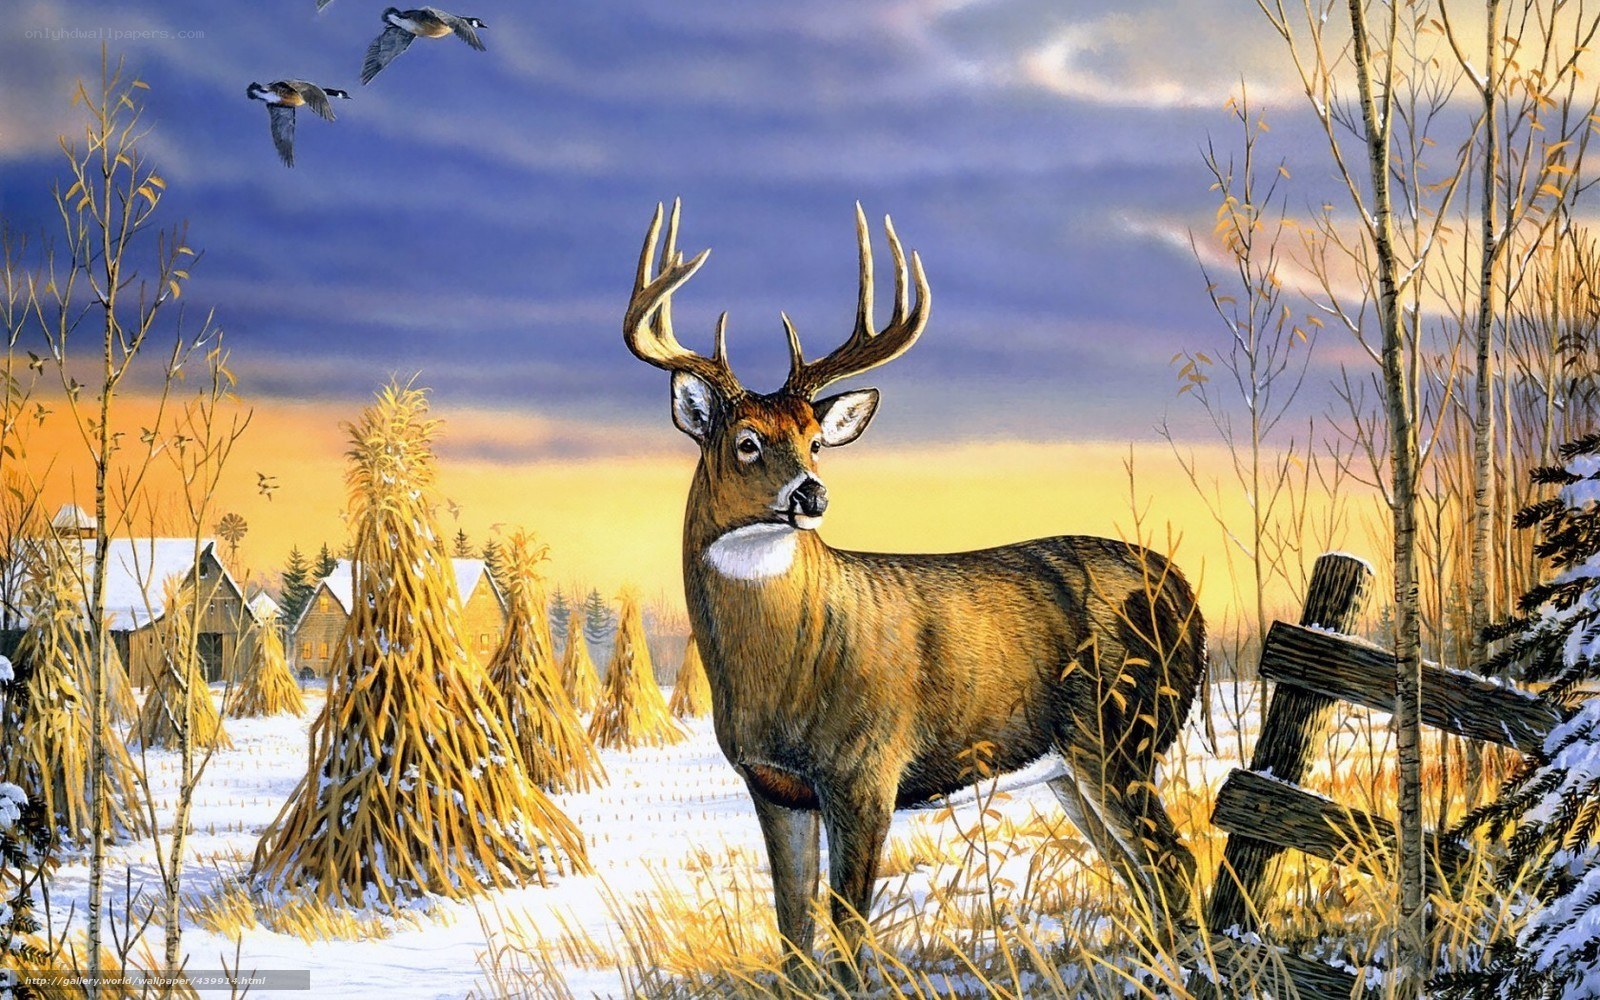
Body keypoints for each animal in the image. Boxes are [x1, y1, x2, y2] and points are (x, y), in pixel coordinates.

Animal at [622, 201, 1206, 986]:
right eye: (746, 441)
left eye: (815, 440)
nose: (811, 494)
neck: (787, 667)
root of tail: (1184, 592)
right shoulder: (774, 787)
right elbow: (794, 933)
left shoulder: (868, 771)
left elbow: (846, 935)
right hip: (1070, 767)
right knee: (1136, 871)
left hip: (1121, 732)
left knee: (1171, 861)